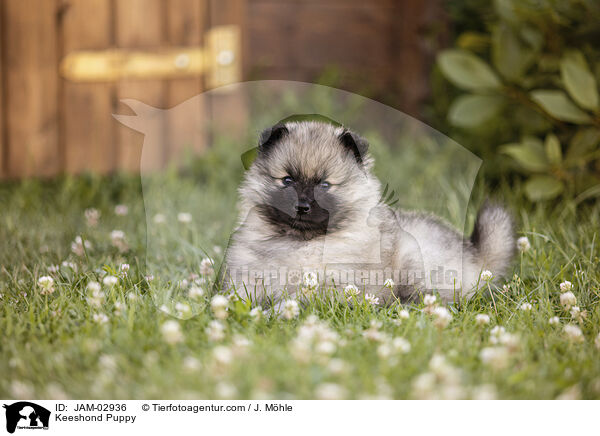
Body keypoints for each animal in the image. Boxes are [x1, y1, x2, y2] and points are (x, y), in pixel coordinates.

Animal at [223, 119, 512, 310]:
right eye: (287, 180)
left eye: (324, 185)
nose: (302, 206)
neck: (303, 241)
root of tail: (476, 257)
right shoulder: (247, 277)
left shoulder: (334, 287)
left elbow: (296, 301)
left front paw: (275, 312)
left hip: (413, 258)